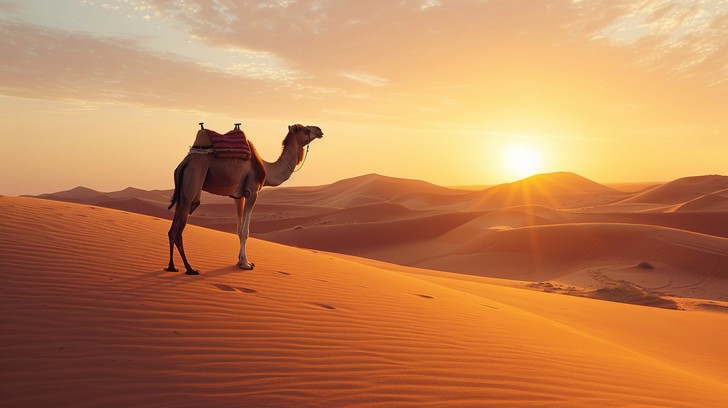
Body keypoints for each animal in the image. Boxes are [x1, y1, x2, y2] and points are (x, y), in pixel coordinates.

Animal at [166, 123, 324, 275]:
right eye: (306, 130)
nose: (320, 130)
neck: (266, 169)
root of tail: (184, 163)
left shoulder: (239, 196)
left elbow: (238, 229)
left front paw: (240, 261)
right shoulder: (252, 192)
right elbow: (245, 231)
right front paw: (246, 264)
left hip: (182, 190)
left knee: (172, 230)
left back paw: (172, 266)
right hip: (193, 182)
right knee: (178, 231)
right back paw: (190, 269)